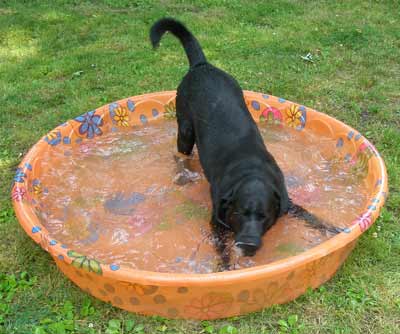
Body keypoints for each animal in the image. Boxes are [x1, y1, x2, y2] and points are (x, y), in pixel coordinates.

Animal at [150, 18, 340, 260]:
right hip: (185, 129)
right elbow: (223, 252)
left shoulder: (287, 201)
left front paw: (333, 229)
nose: (248, 244)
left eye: (264, 216)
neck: (250, 171)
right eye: (239, 213)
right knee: (180, 155)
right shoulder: (217, 221)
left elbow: (311, 217)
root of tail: (202, 65)